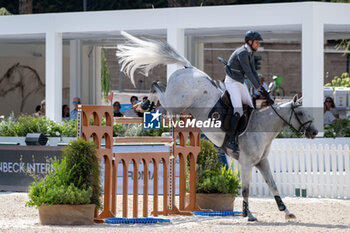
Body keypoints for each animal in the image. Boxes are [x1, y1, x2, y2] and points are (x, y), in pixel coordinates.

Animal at [116, 31, 318, 222]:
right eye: (301, 113)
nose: (314, 132)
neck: (261, 127)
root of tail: (189, 68)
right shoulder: (246, 163)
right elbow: (245, 190)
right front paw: (248, 215)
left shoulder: (262, 162)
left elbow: (273, 185)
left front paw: (286, 211)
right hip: (175, 104)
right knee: (156, 86)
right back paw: (144, 105)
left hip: (176, 105)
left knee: (159, 89)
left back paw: (147, 105)